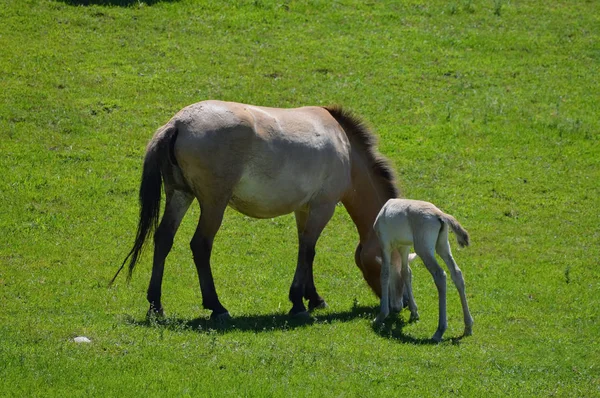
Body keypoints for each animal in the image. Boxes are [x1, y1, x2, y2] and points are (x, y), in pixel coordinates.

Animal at [111, 100, 404, 320]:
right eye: (395, 265)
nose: (396, 306)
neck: (345, 146)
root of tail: (178, 123)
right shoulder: (324, 206)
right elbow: (309, 251)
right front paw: (299, 302)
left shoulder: (304, 209)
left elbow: (305, 249)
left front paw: (311, 298)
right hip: (213, 204)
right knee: (200, 245)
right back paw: (217, 307)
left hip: (180, 196)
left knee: (163, 239)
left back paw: (156, 305)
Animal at [370, 199, 474, 342]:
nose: (396, 307)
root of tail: (439, 214)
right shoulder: (404, 246)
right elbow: (406, 272)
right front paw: (414, 312)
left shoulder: (385, 245)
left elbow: (385, 274)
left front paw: (381, 316)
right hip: (442, 246)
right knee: (456, 273)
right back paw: (468, 327)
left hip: (424, 250)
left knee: (440, 275)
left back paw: (439, 331)